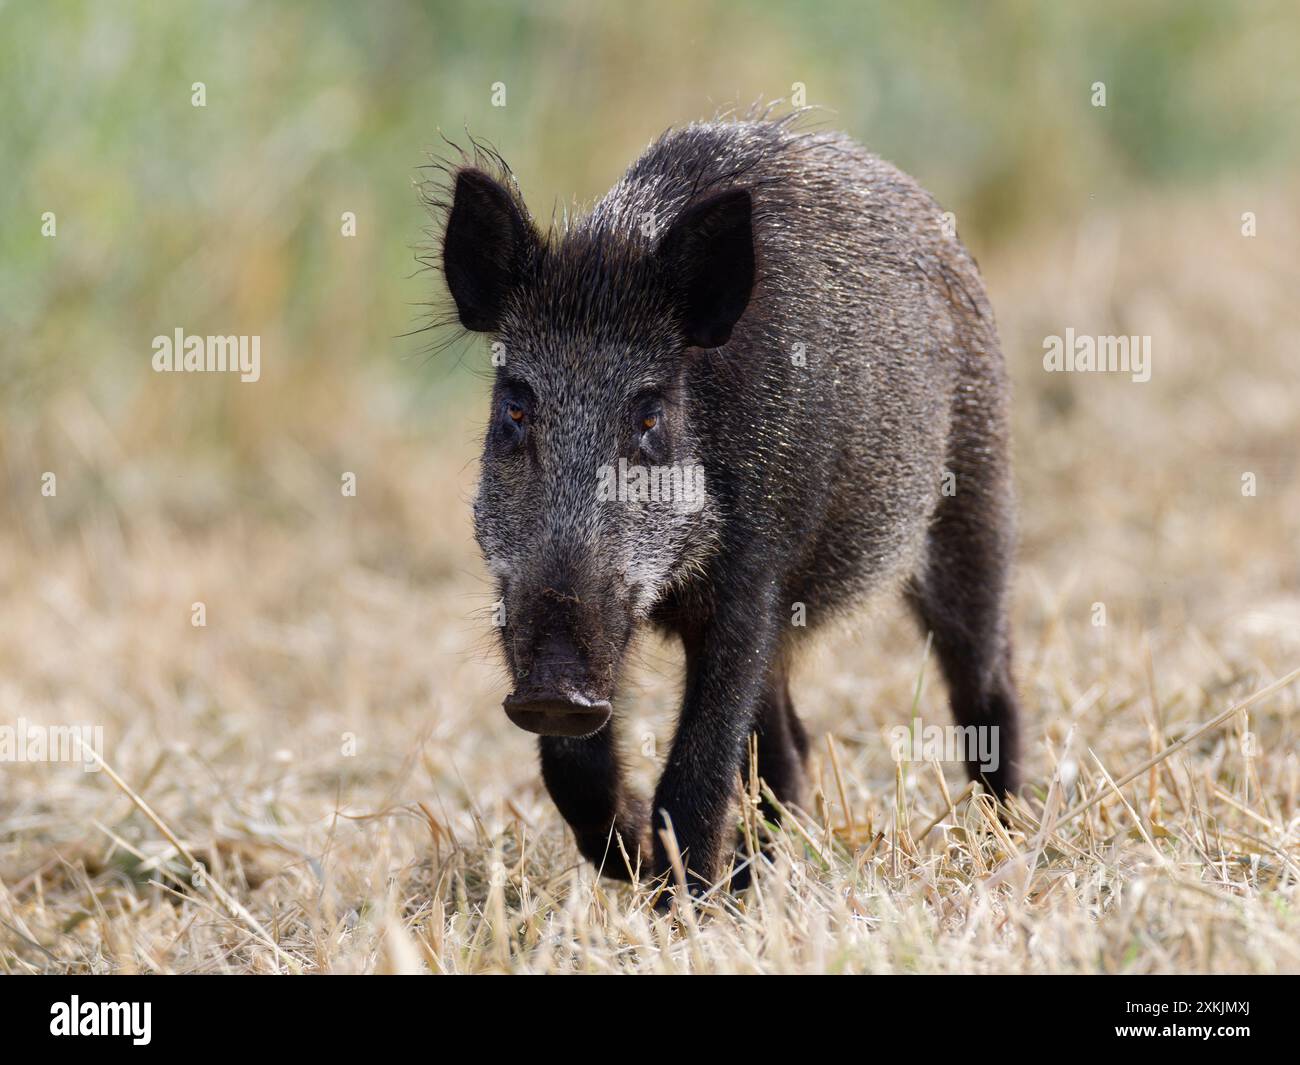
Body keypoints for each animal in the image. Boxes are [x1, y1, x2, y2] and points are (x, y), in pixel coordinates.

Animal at [433, 112, 1021, 896]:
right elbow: (575, 762)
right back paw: (758, 875)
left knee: (987, 683)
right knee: (792, 746)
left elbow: (699, 770)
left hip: (975, 496)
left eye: (650, 416)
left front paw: (679, 895)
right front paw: (635, 866)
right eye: (516, 409)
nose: (554, 688)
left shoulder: (752, 582)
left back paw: (1010, 835)